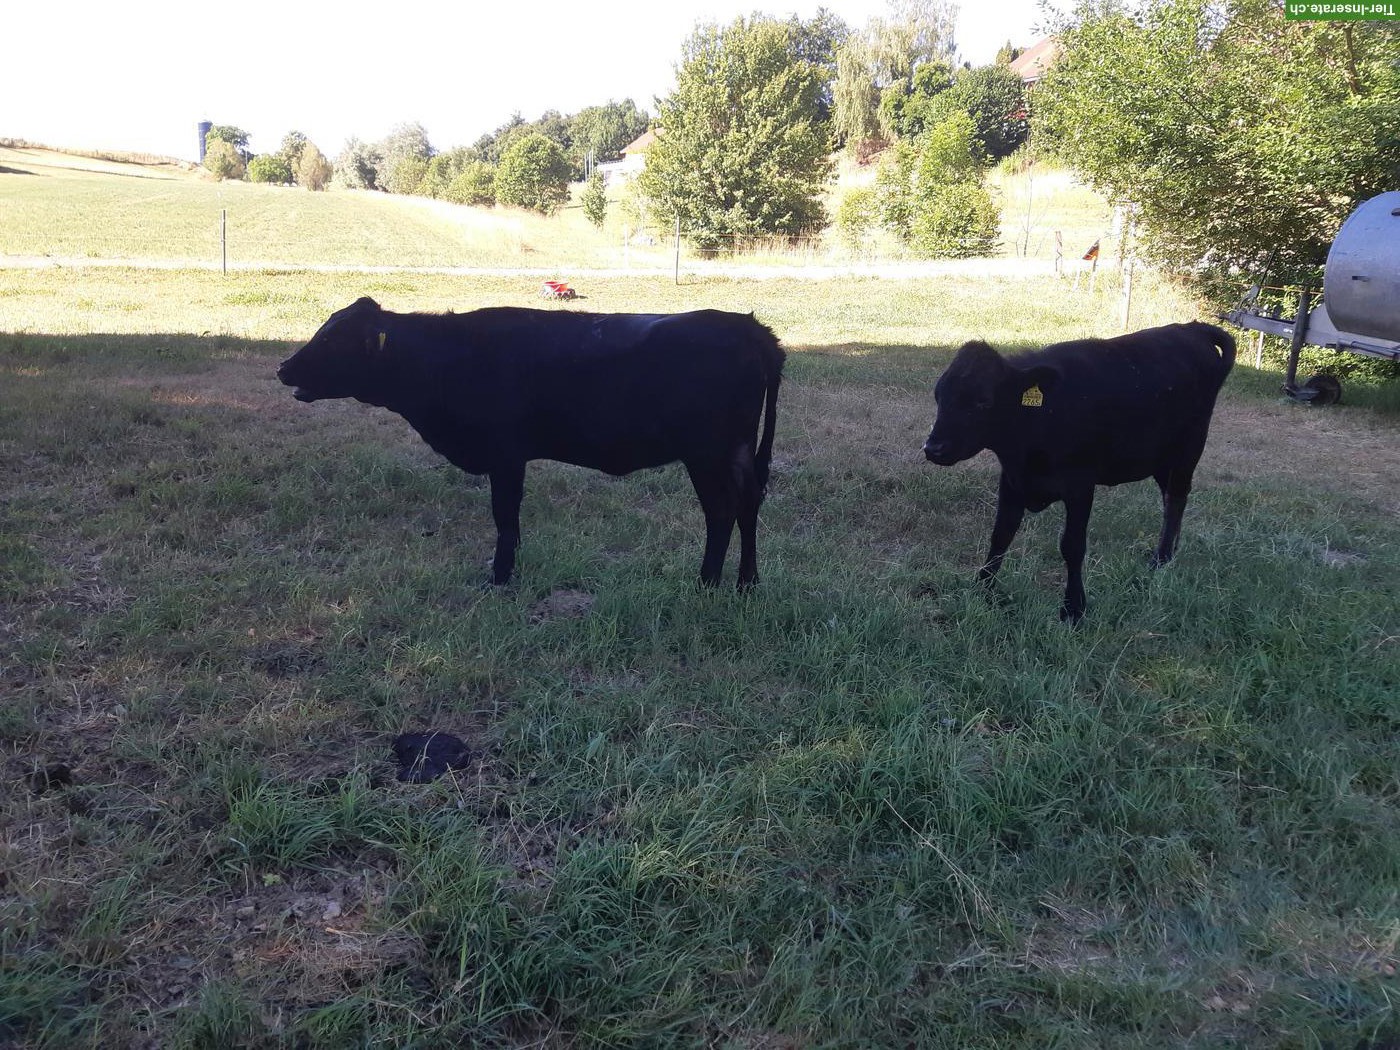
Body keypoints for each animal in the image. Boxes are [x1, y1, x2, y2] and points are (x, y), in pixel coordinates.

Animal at [277, 297, 784, 589]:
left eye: (332, 340)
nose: (283, 368)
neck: (445, 358)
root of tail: (749, 327)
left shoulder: (505, 455)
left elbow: (505, 518)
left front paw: (500, 578)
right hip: (737, 452)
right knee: (749, 505)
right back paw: (747, 582)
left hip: (708, 453)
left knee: (722, 511)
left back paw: (707, 583)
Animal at [921, 322, 1236, 623]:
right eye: (938, 396)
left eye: (982, 401)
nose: (933, 447)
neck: (1039, 418)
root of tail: (1191, 328)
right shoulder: (1011, 480)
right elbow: (1001, 535)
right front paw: (984, 589)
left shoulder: (1080, 485)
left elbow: (1072, 546)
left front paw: (1073, 609)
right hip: (1160, 457)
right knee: (1170, 499)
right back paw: (1168, 552)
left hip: (1189, 447)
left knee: (1177, 497)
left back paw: (1161, 559)